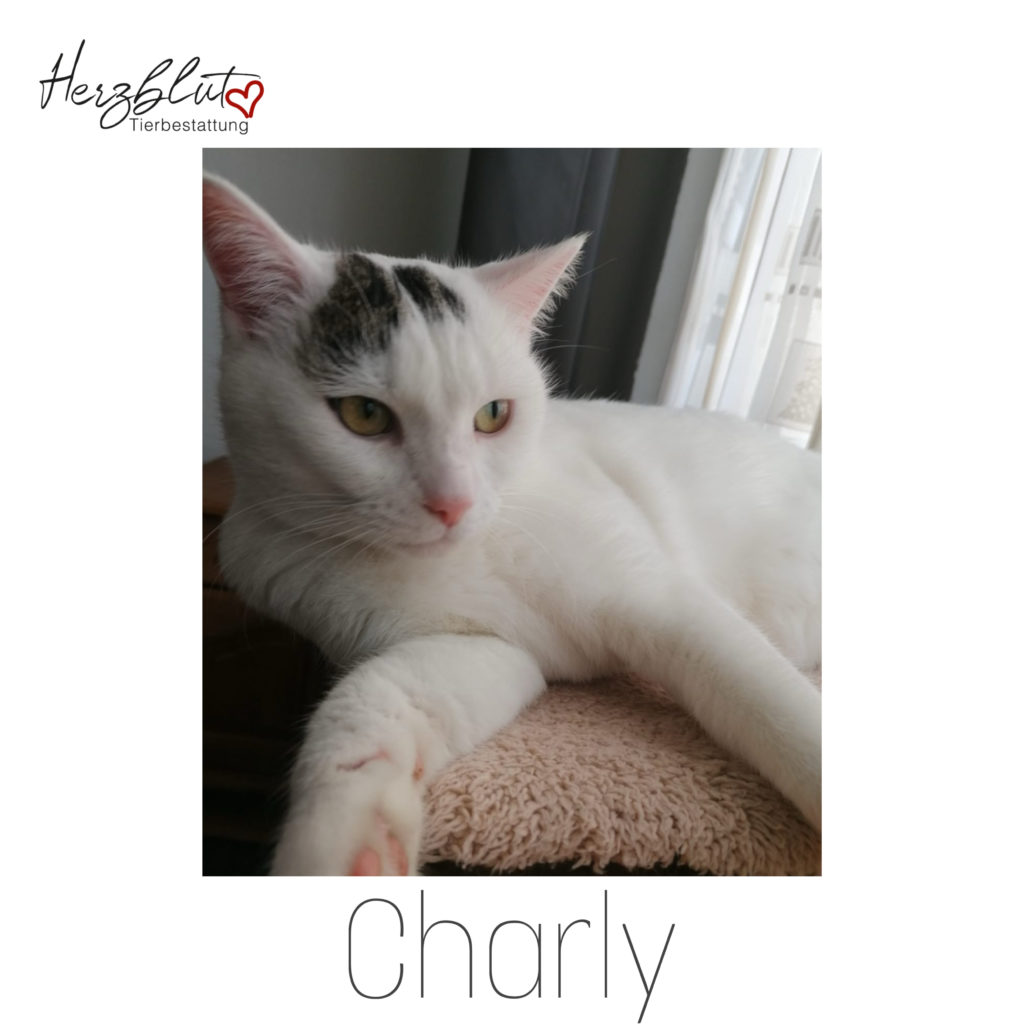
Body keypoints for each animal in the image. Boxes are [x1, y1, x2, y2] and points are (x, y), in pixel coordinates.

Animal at [203, 172, 822, 876]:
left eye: (493, 415)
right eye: (363, 414)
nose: (453, 502)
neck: (463, 554)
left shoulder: (663, 599)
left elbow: (770, 701)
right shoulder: (484, 650)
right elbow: (375, 700)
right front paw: (347, 840)